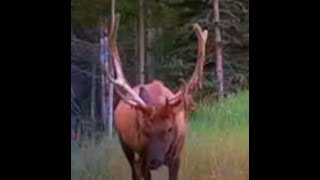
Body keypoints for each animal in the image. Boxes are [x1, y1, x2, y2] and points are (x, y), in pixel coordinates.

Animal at [106, 13, 209, 180]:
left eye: (169, 129)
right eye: (145, 130)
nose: (154, 161)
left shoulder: (177, 155)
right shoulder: (143, 152)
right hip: (125, 144)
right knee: (134, 170)